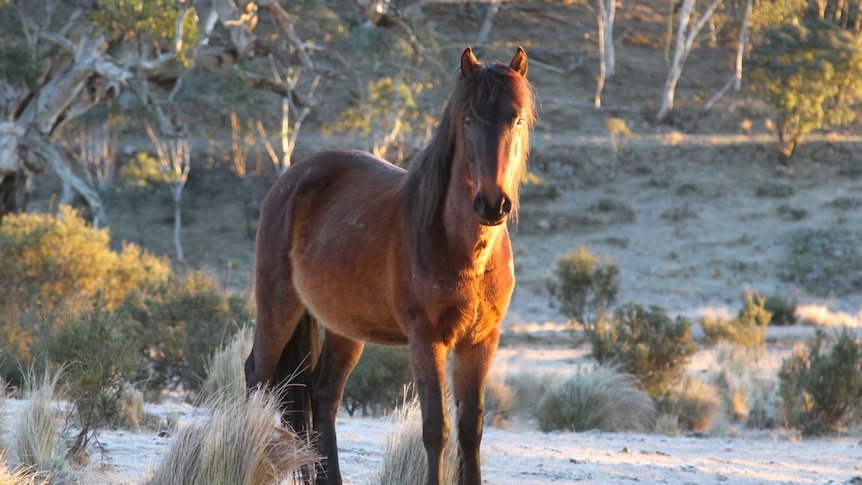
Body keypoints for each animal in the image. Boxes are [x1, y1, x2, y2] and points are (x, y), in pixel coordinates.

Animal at [246, 47, 536, 484]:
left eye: (517, 119)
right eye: (468, 119)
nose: (492, 204)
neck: (462, 251)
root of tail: (290, 179)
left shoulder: (481, 341)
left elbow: (470, 428)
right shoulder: (426, 339)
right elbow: (436, 428)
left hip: (345, 328)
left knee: (323, 394)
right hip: (278, 306)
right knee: (258, 377)